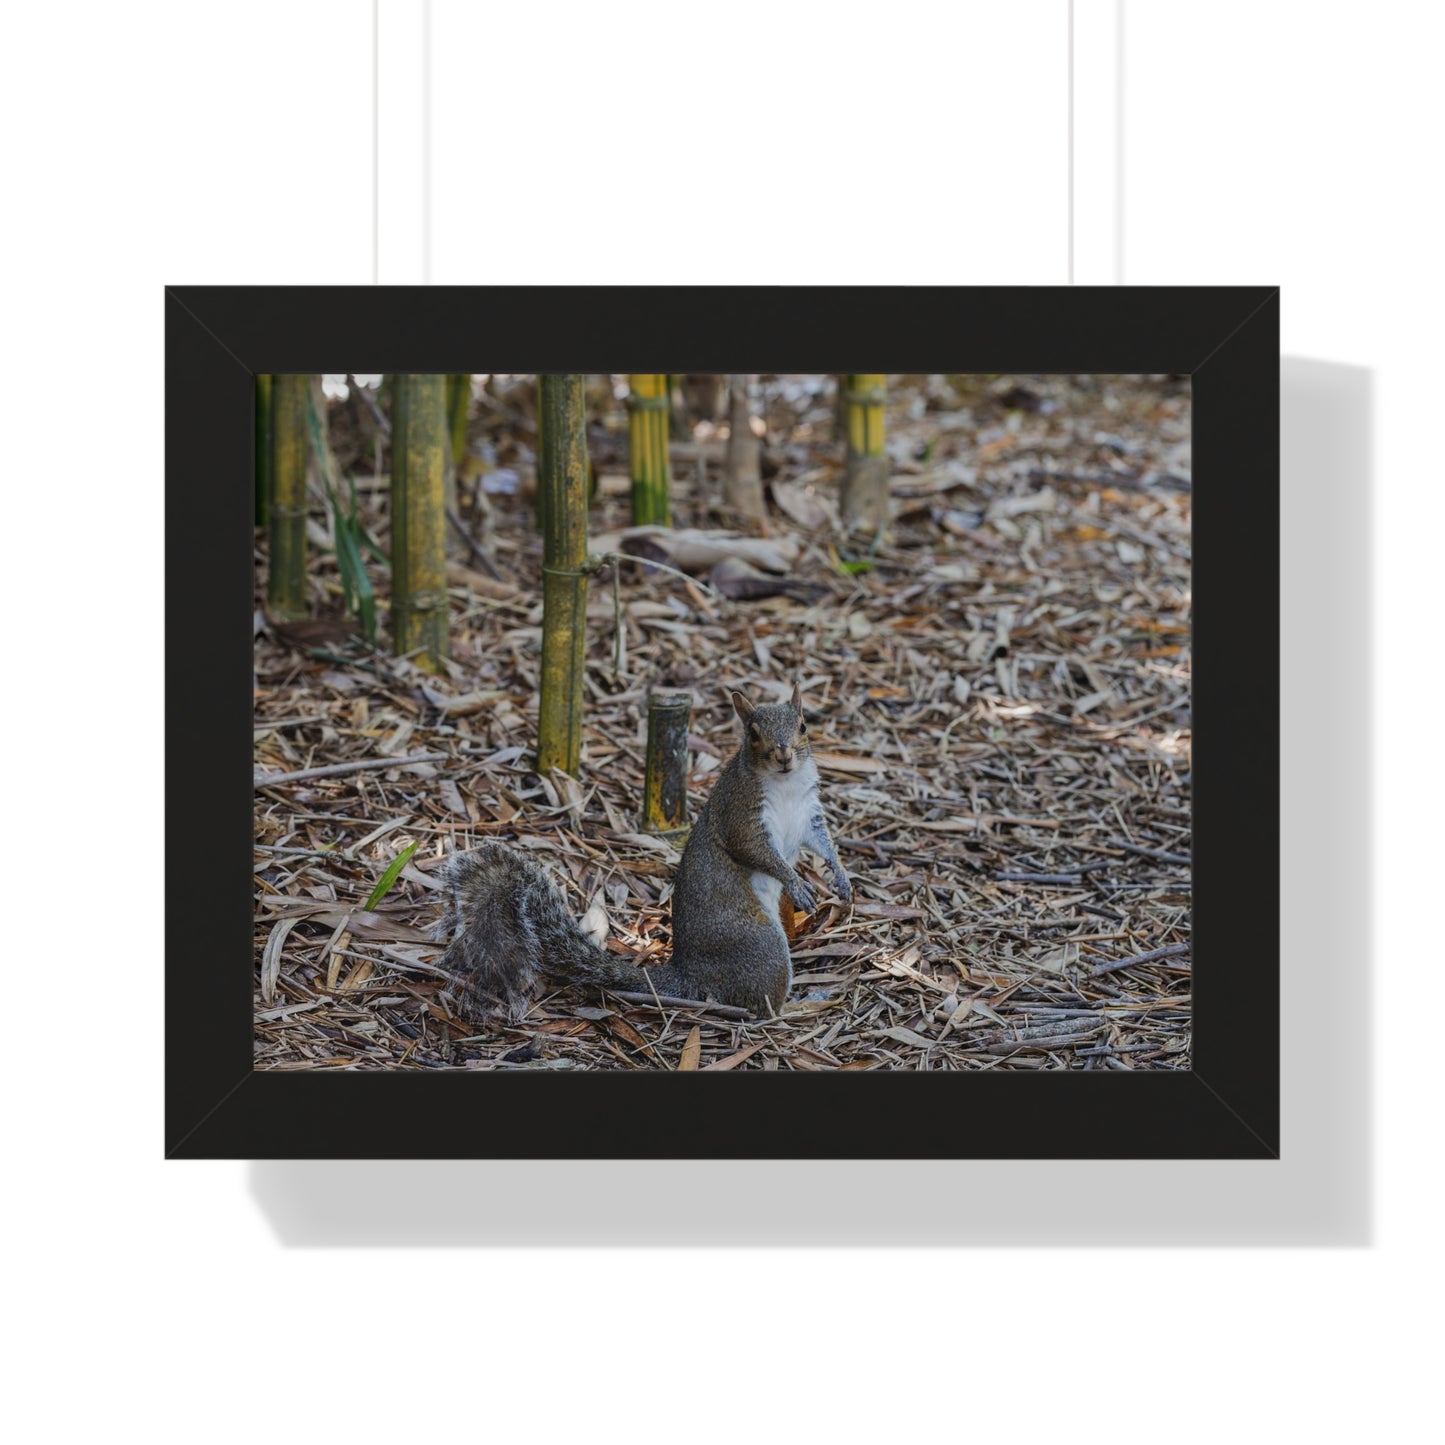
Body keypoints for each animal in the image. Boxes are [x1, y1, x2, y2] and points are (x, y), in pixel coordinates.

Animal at [433, 682, 851, 1019]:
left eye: (803, 726)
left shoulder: (808, 813)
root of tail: (688, 974)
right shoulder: (740, 814)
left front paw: (841, 877)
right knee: (760, 1007)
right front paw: (796, 883)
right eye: (753, 734)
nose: (784, 756)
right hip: (760, 946)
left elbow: (822, 841)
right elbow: (758, 852)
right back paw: (802, 1005)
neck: (785, 784)